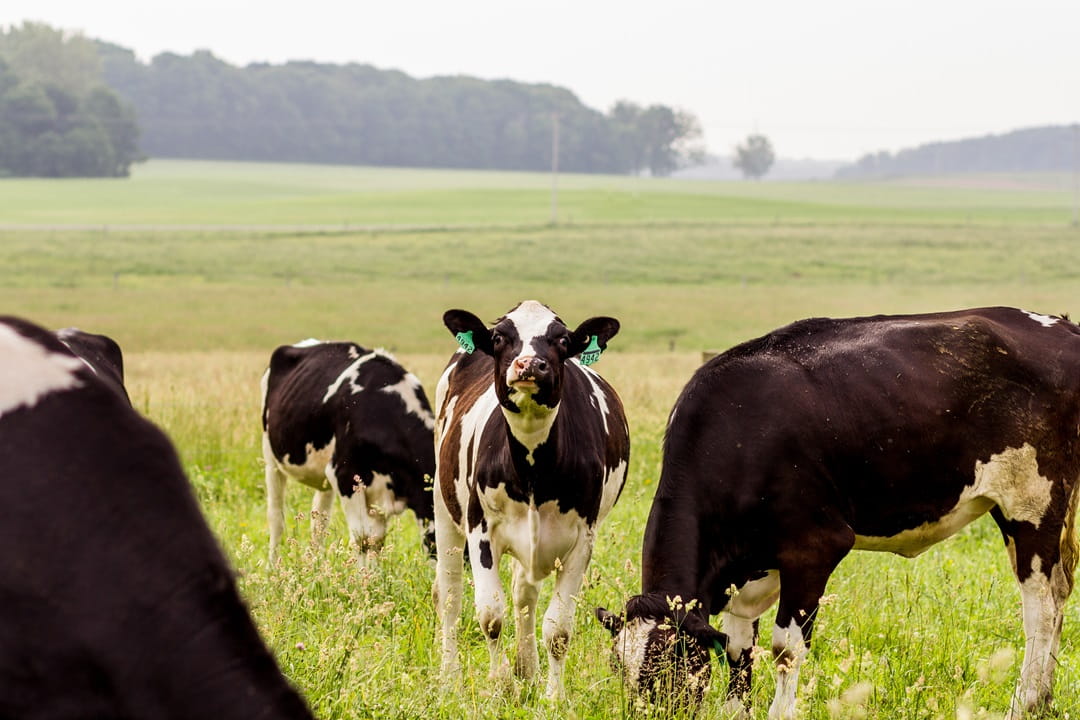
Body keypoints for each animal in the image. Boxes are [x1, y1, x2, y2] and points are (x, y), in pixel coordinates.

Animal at [261, 339, 436, 565]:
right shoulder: (345, 475)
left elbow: (376, 540)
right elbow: (363, 538)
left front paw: (375, 575)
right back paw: (273, 565)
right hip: (271, 458)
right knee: (276, 517)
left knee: (319, 521)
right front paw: (364, 575)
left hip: (323, 475)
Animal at [432, 300, 631, 699]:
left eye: (563, 340)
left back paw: (527, 670)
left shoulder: (582, 539)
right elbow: (490, 615)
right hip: (444, 512)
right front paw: (498, 685)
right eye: (498, 337)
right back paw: (450, 676)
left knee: (524, 595)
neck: (532, 467)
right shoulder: (480, 529)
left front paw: (553, 696)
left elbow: (558, 628)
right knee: (450, 597)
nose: (528, 365)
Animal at [597, 306, 1080, 720]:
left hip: (1032, 503)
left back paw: (1025, 702)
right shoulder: (748, 568)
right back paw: (1045, 698)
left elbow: (785, 648)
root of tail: (1059, 326)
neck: (736, 437)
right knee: (1058, 593)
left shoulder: (815, 547)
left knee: (1041, 607)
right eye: (619, 670)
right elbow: (738, 649)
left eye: (665, 668)